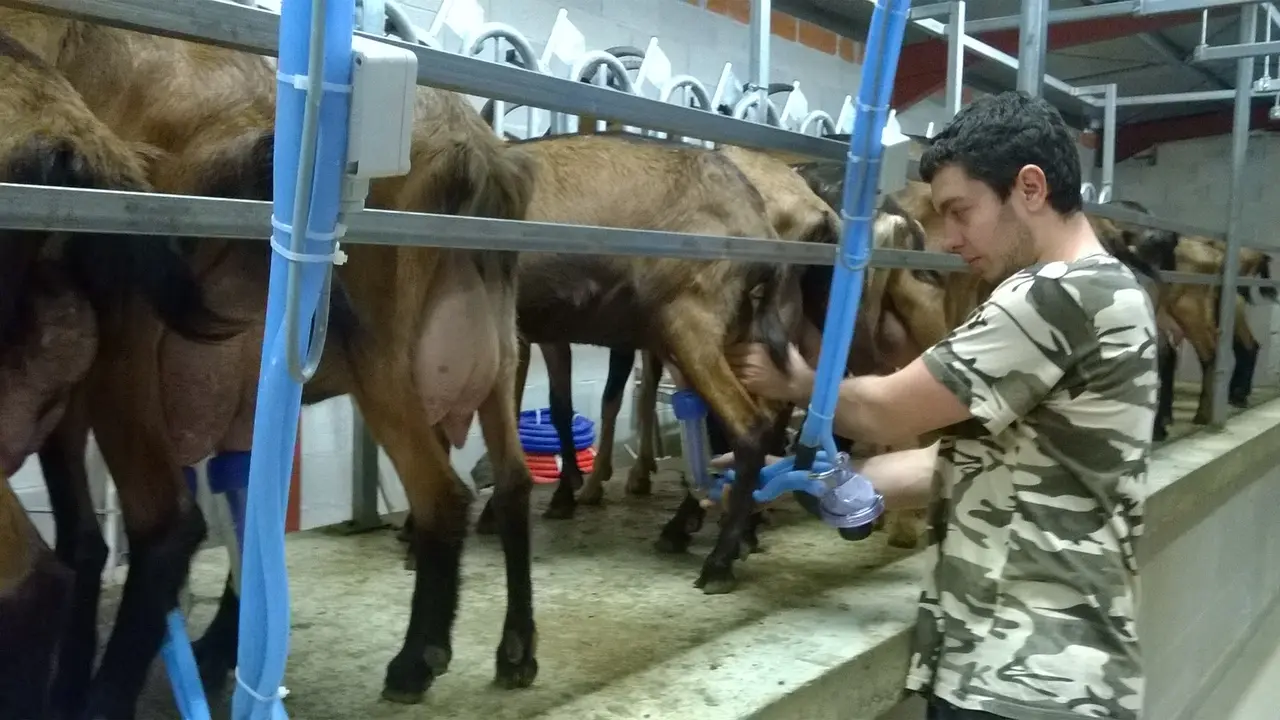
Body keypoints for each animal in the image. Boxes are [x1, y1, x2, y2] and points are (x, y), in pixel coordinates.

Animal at [0, 9, 540, 712]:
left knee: (433, 497)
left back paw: (413, 661)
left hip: (351, 362)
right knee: (512, 481)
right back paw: (516, 650)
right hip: (498, 355)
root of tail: (477, 153)